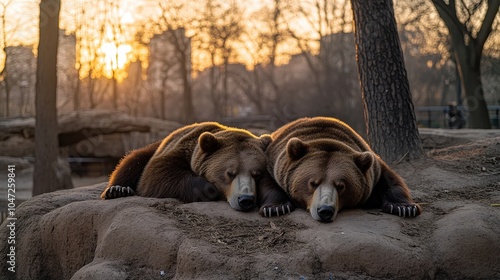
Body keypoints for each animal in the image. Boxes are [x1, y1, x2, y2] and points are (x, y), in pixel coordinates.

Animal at [102, 121, 294, 217]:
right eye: (229, 173)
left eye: (256, 174)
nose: (245, 199)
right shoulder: (179, 152)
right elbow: (156, 175)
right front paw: (209, 189)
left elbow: (273, 184)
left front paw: (276, 208)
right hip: (151, 149)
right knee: (132, 160)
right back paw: (118, 189)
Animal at [268, 117, 420, 222]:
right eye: (313, 183)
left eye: (341, 186)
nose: (325, 210)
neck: (326, 138)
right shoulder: (274, 161)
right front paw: (277, 207)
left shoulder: (373, 168)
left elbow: (390, 180)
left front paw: (404, 208)